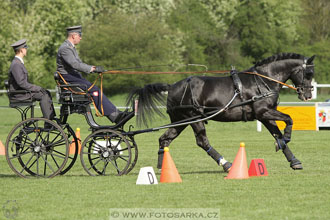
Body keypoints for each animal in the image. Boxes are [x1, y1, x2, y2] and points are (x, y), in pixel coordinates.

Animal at [127, 52, 316, 172]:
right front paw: (286, 140)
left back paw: (162, 166)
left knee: (164, 139)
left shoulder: (265, 116)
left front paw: (294, 160)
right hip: (194, 119)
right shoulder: (263, 112)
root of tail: (172, 86)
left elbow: (278, 135)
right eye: (308, 73)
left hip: (181, 121)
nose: (307, 95)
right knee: (202, 142)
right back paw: (226, 164)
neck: (263, 80)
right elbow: (289, 120)